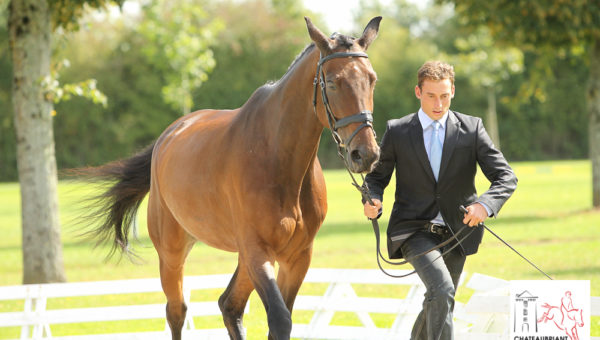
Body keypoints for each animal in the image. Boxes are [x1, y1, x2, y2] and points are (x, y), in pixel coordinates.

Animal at [79, 16, 382, 340]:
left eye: (372, 79)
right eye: (332, 82)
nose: (365, 154)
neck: (277, 156)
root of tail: (168, 134)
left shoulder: (297, 256)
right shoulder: (257, 251)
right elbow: (280, 319)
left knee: (229, 305)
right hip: (173, 251)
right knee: (177, 311)